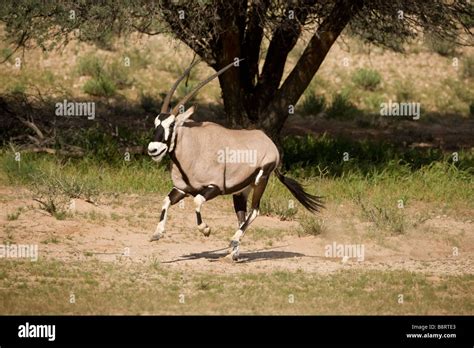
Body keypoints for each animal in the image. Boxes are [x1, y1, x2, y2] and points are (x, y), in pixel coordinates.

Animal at [148, 59, 322, 260]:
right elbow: (166, 200)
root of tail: (268, 142)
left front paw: (206, 229)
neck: (193, 146)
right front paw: (157, 234)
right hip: (240, 191)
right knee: (241, 215)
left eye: (172, 125)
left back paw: (233, 242)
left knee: (255, 211)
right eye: (156, 123)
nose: (153, 149)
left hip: (261, 180)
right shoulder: (182, 189)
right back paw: (234, 253)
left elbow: (197, 202)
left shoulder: (214, 187)